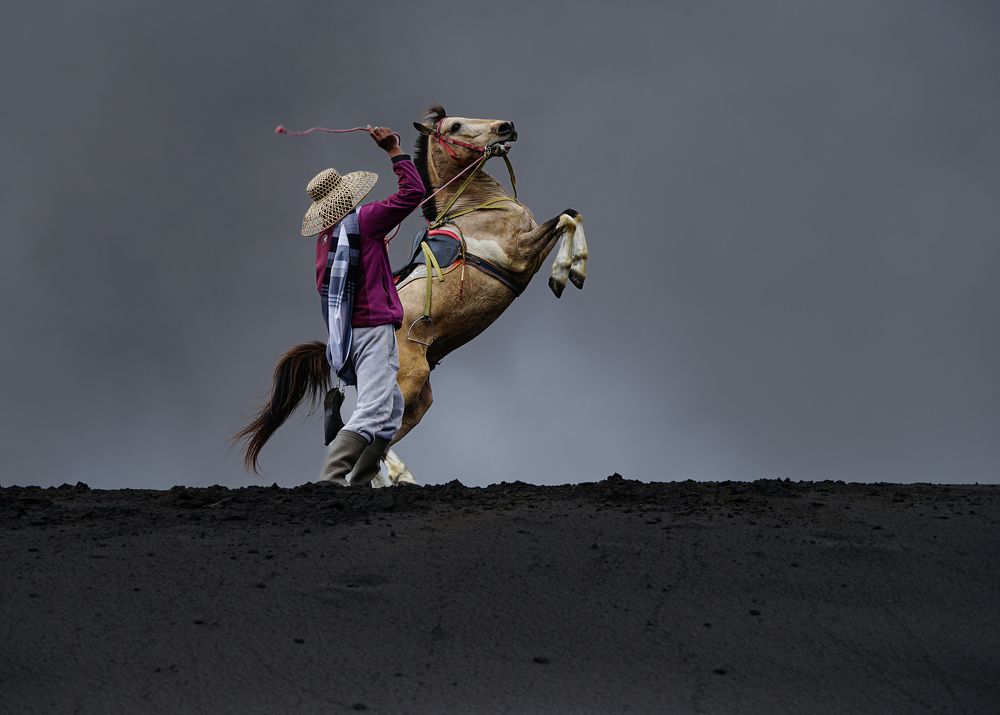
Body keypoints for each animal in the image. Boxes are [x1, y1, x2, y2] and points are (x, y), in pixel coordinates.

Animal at [236, 106, 588, 486]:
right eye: (456, 126)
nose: (505, 127)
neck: (476, 209)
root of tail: (334, 354)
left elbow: (572, 213)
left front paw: (571, 270)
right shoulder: (519, 254)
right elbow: (567, 219)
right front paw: (567, 273)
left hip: (418, 399)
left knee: (377, 439)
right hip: (406, 383)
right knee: (370, 433)